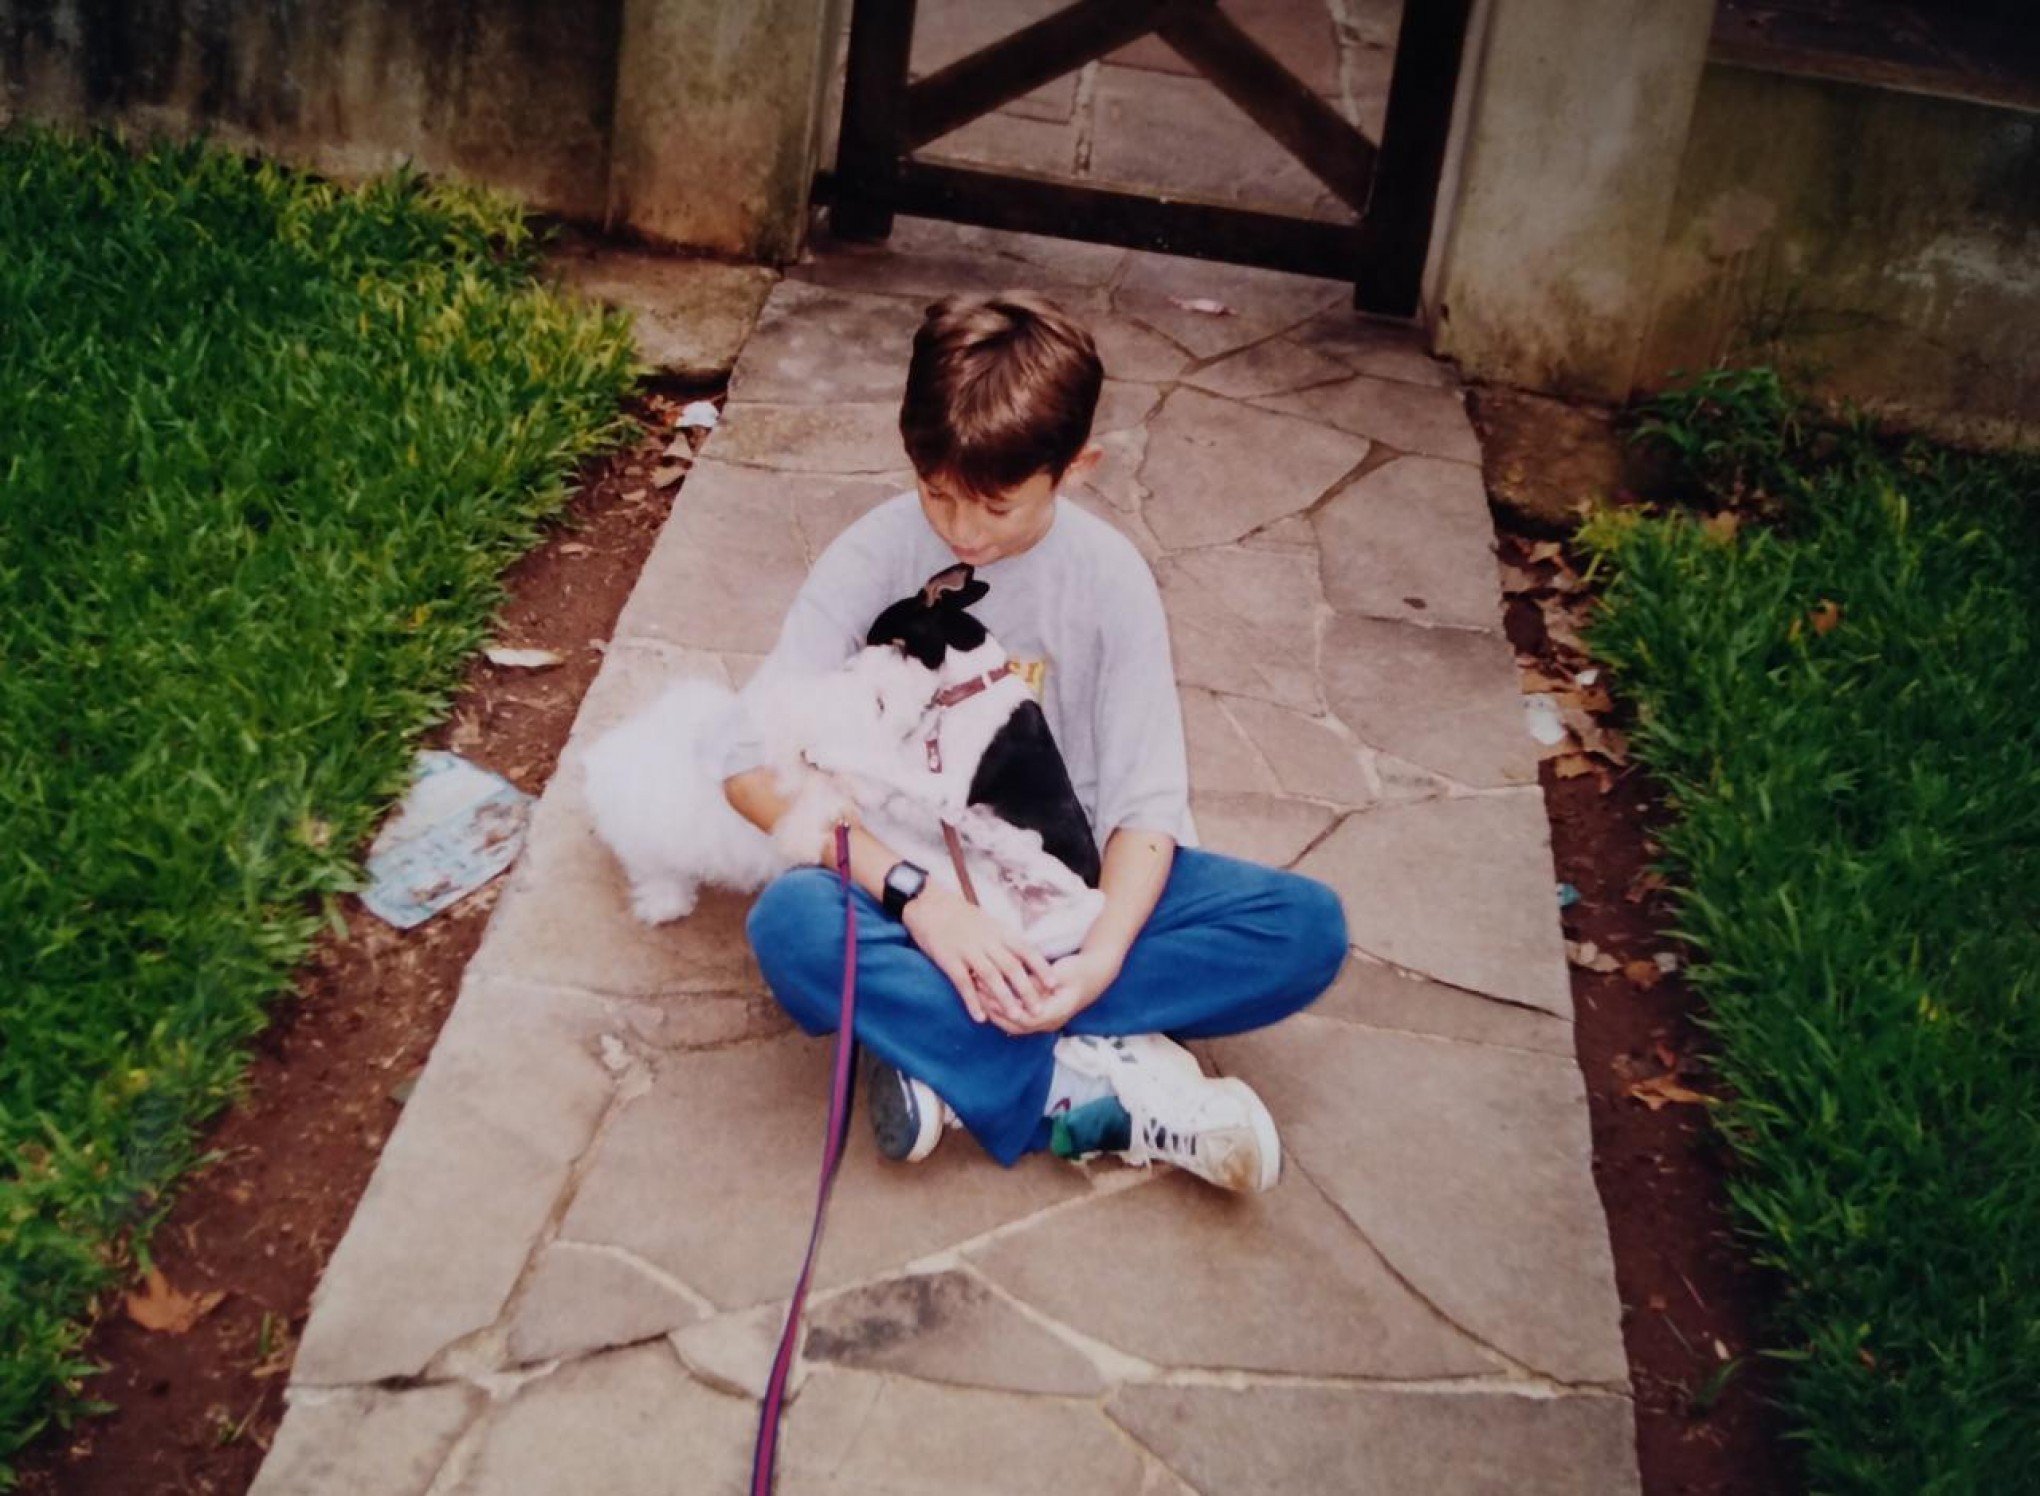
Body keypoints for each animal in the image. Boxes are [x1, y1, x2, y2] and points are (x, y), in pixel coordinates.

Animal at [583, 559, 1109, 955]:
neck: (970, 687)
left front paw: (829, 752)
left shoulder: (941, 784)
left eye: (884, 639)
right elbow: (883, 764)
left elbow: (881, 761)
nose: (853, 663)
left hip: (1047, 865)